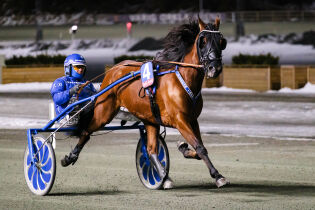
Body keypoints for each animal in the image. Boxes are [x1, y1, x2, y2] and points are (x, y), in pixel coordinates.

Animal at [61, 16, 230, 187]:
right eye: (203, 41)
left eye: (222, 42)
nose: (214, 68)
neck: (183, 79)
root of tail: (114, 69)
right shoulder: (180, 120)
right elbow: (200, 147)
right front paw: (217, 175)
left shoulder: (192, 120)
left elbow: (199, 147)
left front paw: (183, 147)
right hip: (104, 112)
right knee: (86, 131)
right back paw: (70, 157)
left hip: (150, 120)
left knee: (151, 150)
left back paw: (164, 177)